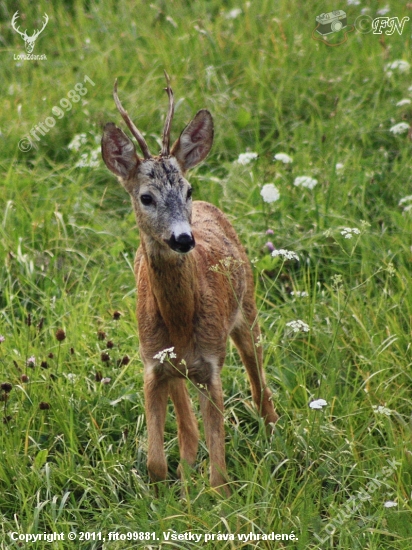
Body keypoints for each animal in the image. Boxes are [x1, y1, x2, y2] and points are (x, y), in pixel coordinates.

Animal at [101, 74, 278, 496]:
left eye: (188, 190)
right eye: (145, 197)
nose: (183, 238)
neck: (181, 323)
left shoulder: (211, 365)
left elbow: (219, 474)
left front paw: (219, 499)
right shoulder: (152, 364)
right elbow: (155, 462)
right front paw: (167, 495)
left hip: (247, 310)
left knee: (258, 385)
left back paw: (274, 430)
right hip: (174, 366)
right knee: (187, 423)